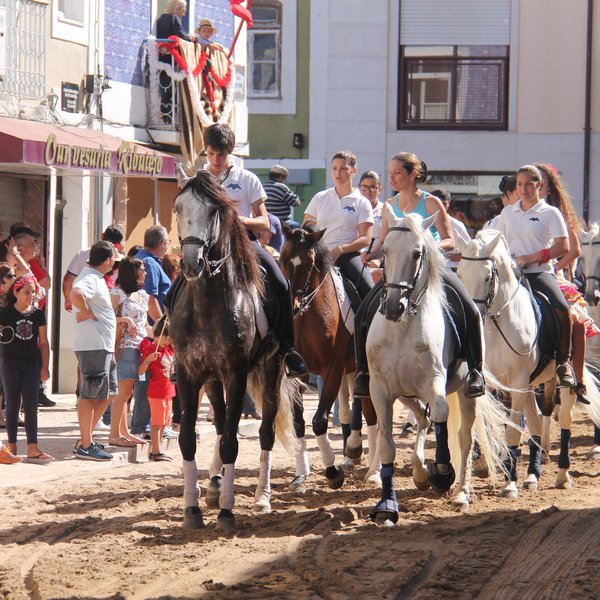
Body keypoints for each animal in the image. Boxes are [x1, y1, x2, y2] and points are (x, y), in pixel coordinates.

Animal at [278, 224, 378, 488]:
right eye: (283, 259)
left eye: (308, 263)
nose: (291, 306)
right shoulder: (297, 373)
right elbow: (299, 423)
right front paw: (300, 476)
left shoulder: (332, 369)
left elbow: (319, 420)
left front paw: (333, 472)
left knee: (374, 416)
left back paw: (374, 471)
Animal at [368, 207, 508, 524]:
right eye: (384, 250)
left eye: (417, 253)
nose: (393, 306)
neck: (402, 327)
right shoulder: (381, 391)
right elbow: (387, 444)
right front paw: (387, 504)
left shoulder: (434, 383)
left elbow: (443, 416)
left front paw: (443, 474)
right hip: (406, 393)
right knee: (422, 418)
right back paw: (420, 473)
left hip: (465, 392)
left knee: (464, 437)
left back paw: (461, 492)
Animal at [458, 227, 600, 494]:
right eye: (459, 274)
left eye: (487, 277)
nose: (472, 317)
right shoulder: (494, 384)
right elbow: (497, 427)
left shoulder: (518, 381)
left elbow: (513, 432)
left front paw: (510, 483)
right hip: (532, 384)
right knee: (535, 421)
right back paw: (533, 473)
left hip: (561, 381)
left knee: (565, 420)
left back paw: (562, 474)